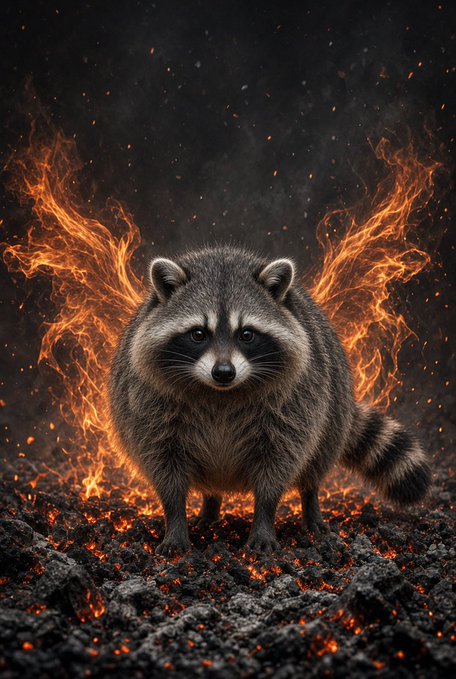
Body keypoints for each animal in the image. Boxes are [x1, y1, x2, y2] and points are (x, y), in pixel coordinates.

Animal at [109, 245, 431, 555]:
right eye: (198, 334)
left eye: (247, 334)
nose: (223, 372)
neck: (220, 393)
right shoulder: (147, 403)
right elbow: (164, 467)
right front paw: (176, 523)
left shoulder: (298, 402)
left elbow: (278, 464)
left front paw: (263, 520)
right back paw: (210, 507)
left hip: (333, 408)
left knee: (315, 463)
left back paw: (311, 507)